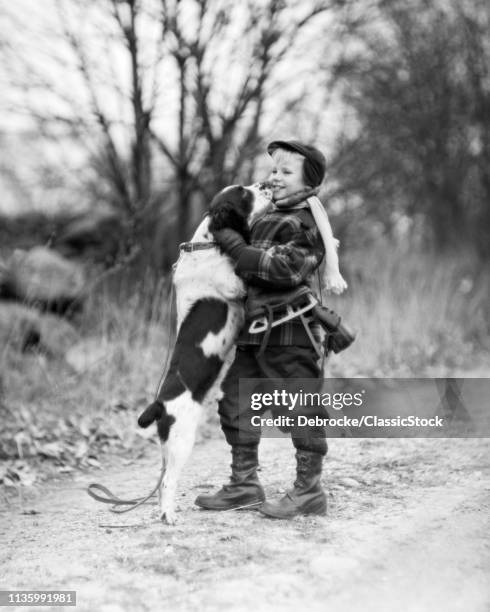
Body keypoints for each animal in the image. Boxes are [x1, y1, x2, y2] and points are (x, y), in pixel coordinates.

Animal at [137, 182, 272, 520]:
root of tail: (159, 405)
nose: (266, 184)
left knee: (161, 481)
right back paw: (169, 518)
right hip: (183, 440)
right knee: (168, 481)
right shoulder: (239, 287)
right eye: (244, 193)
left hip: (168, 446)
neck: (207, 246)